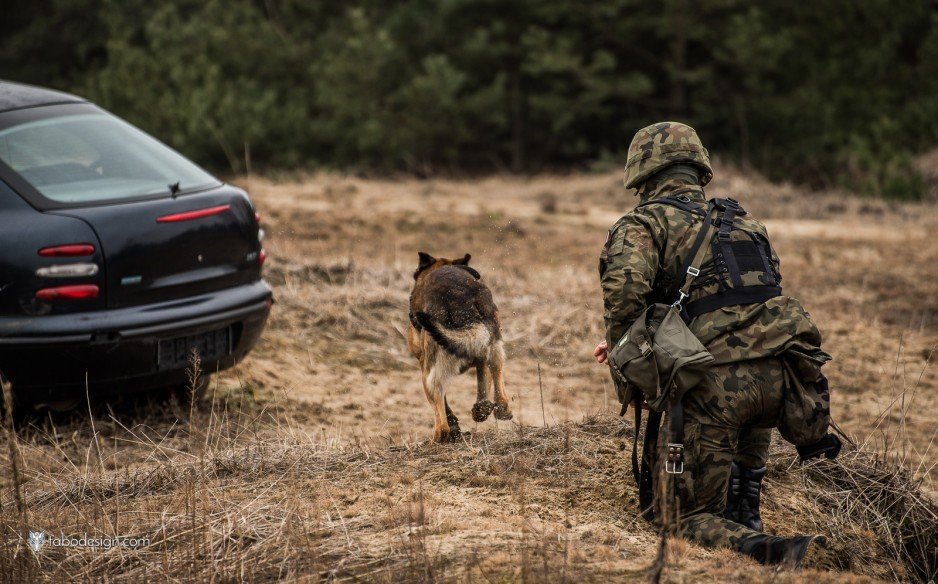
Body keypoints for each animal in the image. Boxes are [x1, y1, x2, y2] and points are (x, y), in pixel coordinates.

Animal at [406, 252, 512, 442]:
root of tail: (460, 301)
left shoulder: (424, 364)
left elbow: (445, 404)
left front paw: (454, 428)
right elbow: (484, 378)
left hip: (429, 373)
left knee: (440, 415)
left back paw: (439, 438)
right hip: (493, 343)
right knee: (497, 375)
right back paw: (494, 409)